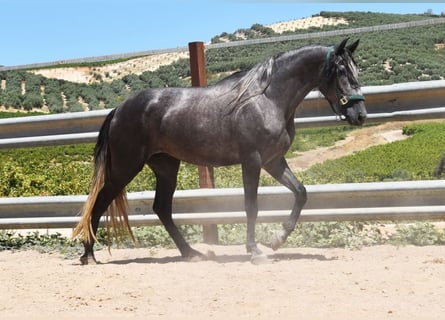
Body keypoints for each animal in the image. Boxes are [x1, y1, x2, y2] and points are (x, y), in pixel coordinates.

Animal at [72, 37, 364, 264]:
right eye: (342, 72)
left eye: (356, 71)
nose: (360, 115)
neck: (267, 99)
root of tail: (118, 110)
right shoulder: (252, 161)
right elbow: (251, 206)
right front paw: (255, 251)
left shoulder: (274, 161)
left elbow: (301, 193)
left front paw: (277, 240)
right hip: (126, 167)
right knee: (100, 201)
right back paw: (89, 255)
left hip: (166, 167)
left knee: (162, 208)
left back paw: (191, 253)